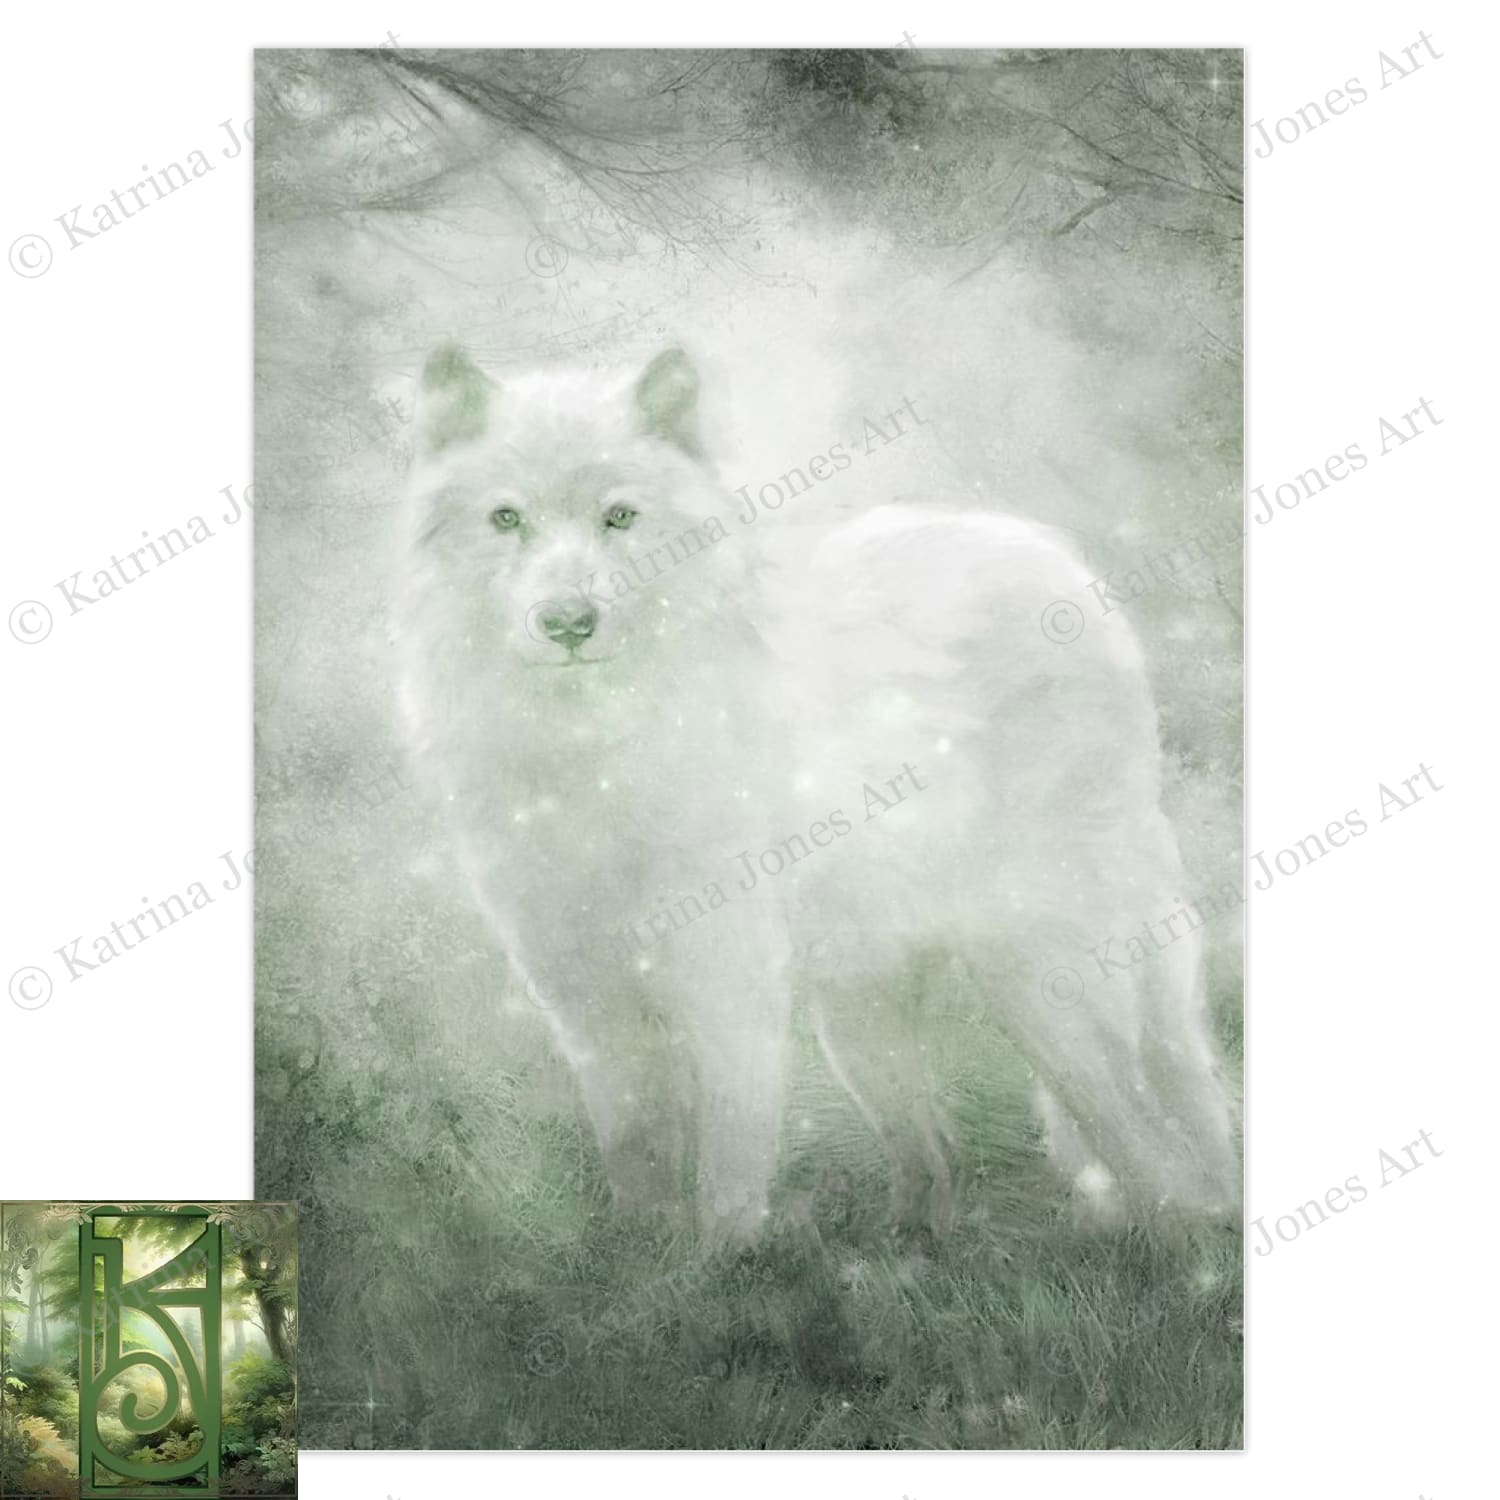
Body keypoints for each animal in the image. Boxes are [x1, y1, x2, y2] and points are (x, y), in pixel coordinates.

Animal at [394, 343, 1241, 1243]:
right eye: (506, 519)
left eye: (619, 518)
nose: (566, 624)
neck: (591, 750)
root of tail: (1053, 556)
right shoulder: (582, 995)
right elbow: (636, 1159)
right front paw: (641, 1258)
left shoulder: (729, 976)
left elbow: (727, 1170)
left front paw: (722, 1266)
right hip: (865, 1014)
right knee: (938, 1158)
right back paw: (913, 1247)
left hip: (1040, 978)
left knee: (1151, 1134)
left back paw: (1188, 1232)